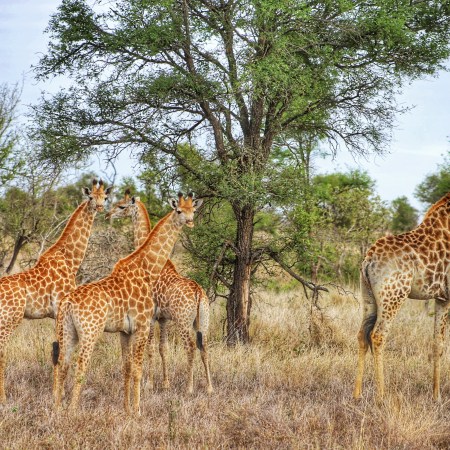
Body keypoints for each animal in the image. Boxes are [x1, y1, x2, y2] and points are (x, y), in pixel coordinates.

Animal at [0, 178, 111, 402]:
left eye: (105, 197)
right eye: (90, 197)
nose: (100, 207)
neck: (70, 260)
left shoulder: (56, 314)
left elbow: (54, 351)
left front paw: (55, 394)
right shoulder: (60, 307)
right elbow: (60, 352)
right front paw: (56, 395)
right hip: (9, 320)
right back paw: (4, 398)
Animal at [51, 192, 204, 414]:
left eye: (193, 209)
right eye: (178, 210)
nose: (190, 221)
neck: (148, 269)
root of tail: (68, 303)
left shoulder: (125, 331)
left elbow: (127, 368)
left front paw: (126, 408)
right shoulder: (143, 325)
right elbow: (139, 368)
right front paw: (138, 410)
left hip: (67, 331)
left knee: (63, 364)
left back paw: (57, 409)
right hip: (90, 333)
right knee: (80, 367)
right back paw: (72, 411)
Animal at [107, 190, 214, 394]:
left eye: (121, 206)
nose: (108, 215)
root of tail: (198, 292)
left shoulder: (152, 316)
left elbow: (150, 348)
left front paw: (149, 384)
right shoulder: (163, 318)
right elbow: (163, 348)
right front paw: (165, 383)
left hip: (183, 320)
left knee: (190, 347)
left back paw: (189, 387)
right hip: (202, 320)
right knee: (204, 346)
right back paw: (210, 387)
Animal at [354, 191, 450, 400]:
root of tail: (368, 260)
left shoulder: (442, 297)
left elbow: (437, 343)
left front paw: (436, 395)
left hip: (367, 296)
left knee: (362, 335)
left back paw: (357, 395)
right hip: (393, 296)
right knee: (378, 336)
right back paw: (381, 396)